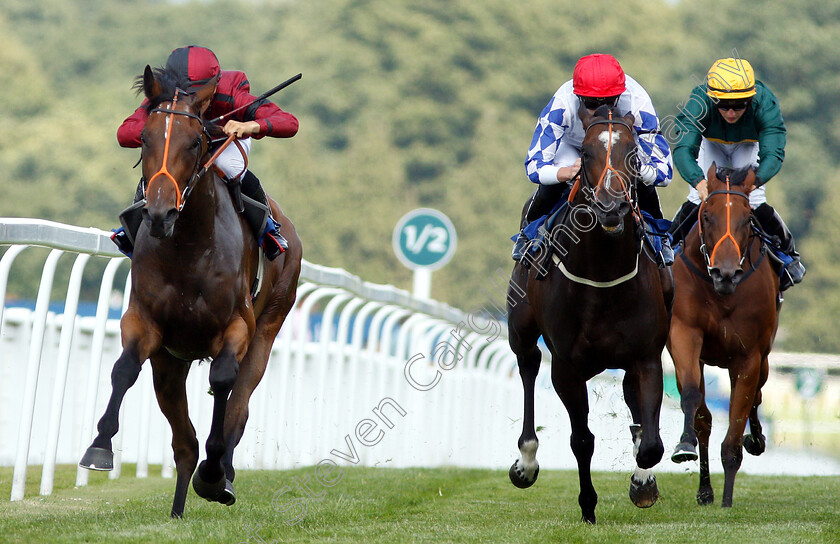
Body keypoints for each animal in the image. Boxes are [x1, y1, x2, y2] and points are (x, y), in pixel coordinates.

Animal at [79, 67, 302, 520]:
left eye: (196, 141)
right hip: (170, 363)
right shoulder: (144, 323)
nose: (160, 212)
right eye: (145, 138)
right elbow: (124, 370)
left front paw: (215, 473)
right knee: (184, 443)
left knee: (239, 402)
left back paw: (222, 475)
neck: (189, 245)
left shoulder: (237, 327)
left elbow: (223, 382)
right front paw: (99, 447)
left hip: (269, 326)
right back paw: (178, 509)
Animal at [506, 105, 676, 524]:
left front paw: (643, 483)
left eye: (635, 154)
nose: (611, 207)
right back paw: (526, 462)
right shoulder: (567, 366)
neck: (603, 274)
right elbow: (581, 440)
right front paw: (588, 508)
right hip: (521, 329)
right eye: (584, 154)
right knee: (528, 366)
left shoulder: (646, 355)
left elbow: (651, 443)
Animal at [668, 164, 780, 508]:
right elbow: (694, 400)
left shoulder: (749, 356)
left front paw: (728, 500)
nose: (726, 274)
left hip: (764, 359)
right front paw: (685, 445)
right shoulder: (683, 334)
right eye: (707, 216)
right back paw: (705, 489)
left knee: (757, 396)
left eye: (747, 217)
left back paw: (755, 439)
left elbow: (737, 423)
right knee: (705, 417)